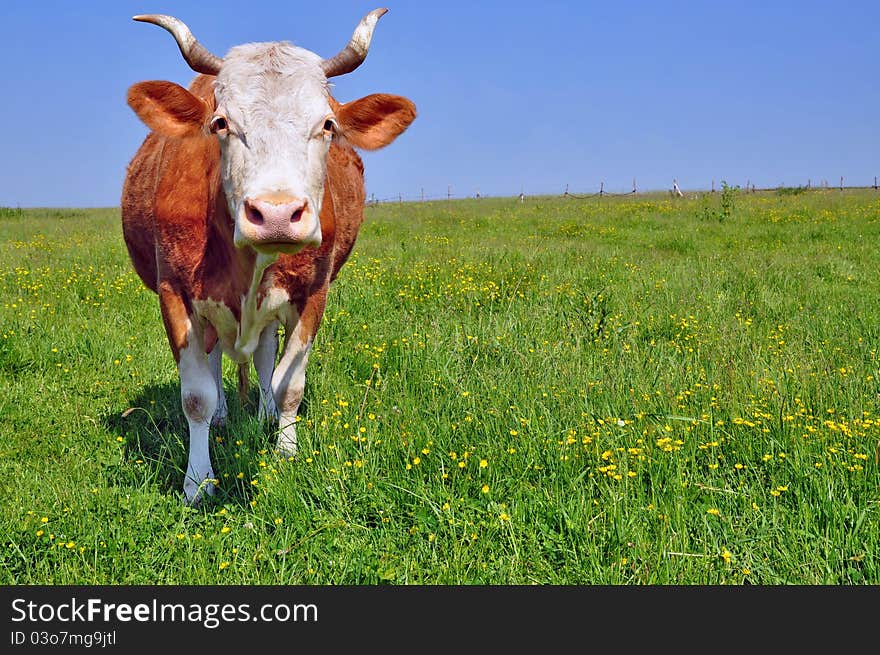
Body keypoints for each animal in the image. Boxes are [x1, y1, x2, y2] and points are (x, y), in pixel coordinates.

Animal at [121, 7, 420, 504]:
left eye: (328, 125)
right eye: (221, 123)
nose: (277, 214)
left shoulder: (312, 294)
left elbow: (288, 384)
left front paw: (285, 452)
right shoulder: (174, 293)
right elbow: (196, 396)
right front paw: (198, 481)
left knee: (263, 356)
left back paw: (261, 415)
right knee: (217, 358)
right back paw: (226, 415)